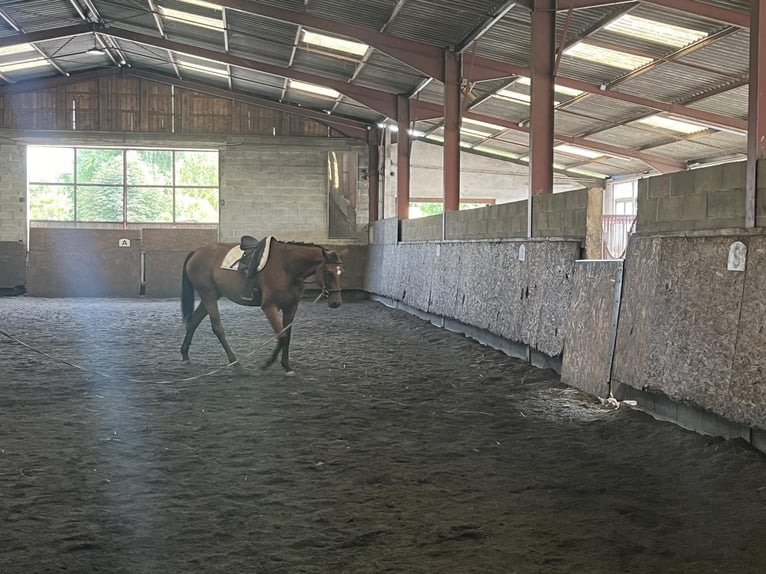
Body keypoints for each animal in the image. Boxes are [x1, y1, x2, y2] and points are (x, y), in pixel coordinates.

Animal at [180, 236, 342, 376]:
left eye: (341, 272)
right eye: (328, 272)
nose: (336, 302)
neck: (286, 266)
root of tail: (197, 251)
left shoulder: (291, 307)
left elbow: (287, 336)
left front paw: (287, 366)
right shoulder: (269, 307)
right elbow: (282, 335)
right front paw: (267, 363)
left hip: (211, 296)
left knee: (193, 322)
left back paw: (185, 355)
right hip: (208, 296)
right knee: (217, 328)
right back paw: (236, 364)